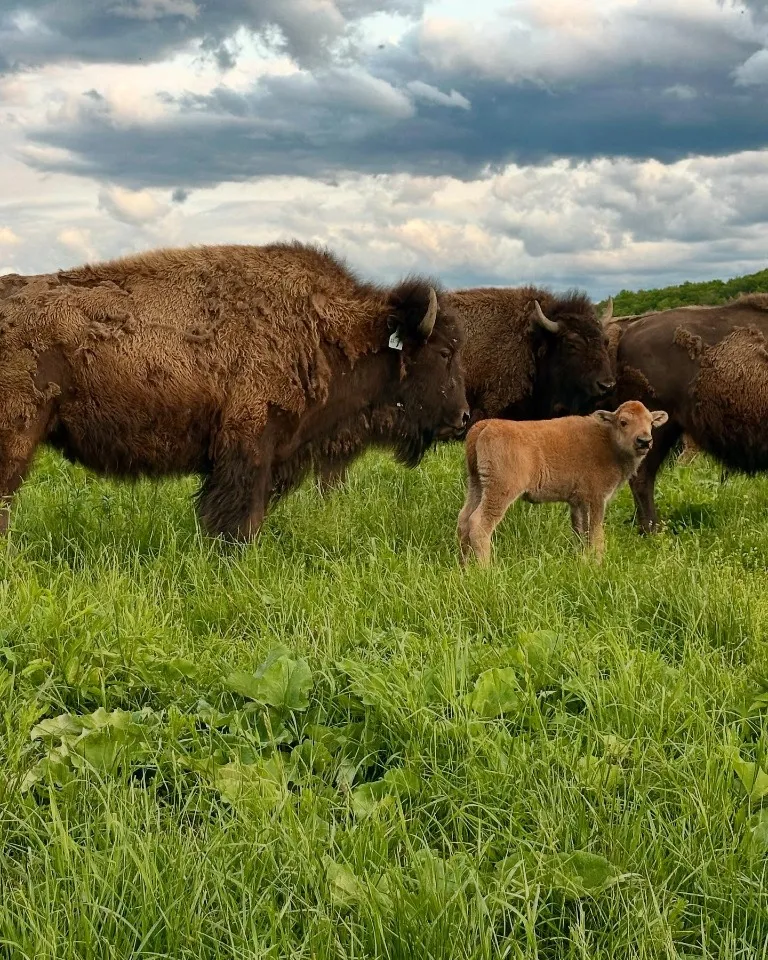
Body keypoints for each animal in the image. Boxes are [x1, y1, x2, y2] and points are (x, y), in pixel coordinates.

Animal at [0, 242, 469, 540]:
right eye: (445, 352)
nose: (464, 417)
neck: (326, 329)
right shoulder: (249, 446)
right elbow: (239, 518)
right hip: (18, 436)